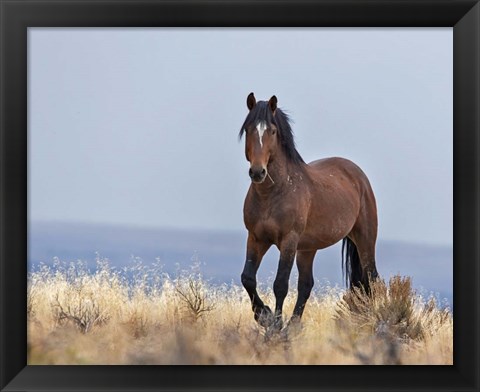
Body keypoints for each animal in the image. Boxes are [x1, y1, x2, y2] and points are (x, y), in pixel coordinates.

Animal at [240, 93, 378, 330]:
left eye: (272, 131)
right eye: (248, 129)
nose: (258, 172)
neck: (273, 193)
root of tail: (358, 175)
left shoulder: (289, 241)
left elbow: (280, 284)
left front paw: (275, 325)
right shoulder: (256, 238)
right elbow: (247, 278)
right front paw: (264, 315)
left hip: (365, 240)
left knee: (371, 279)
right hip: (308, 248)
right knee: (306, 285)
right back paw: (294, 326)